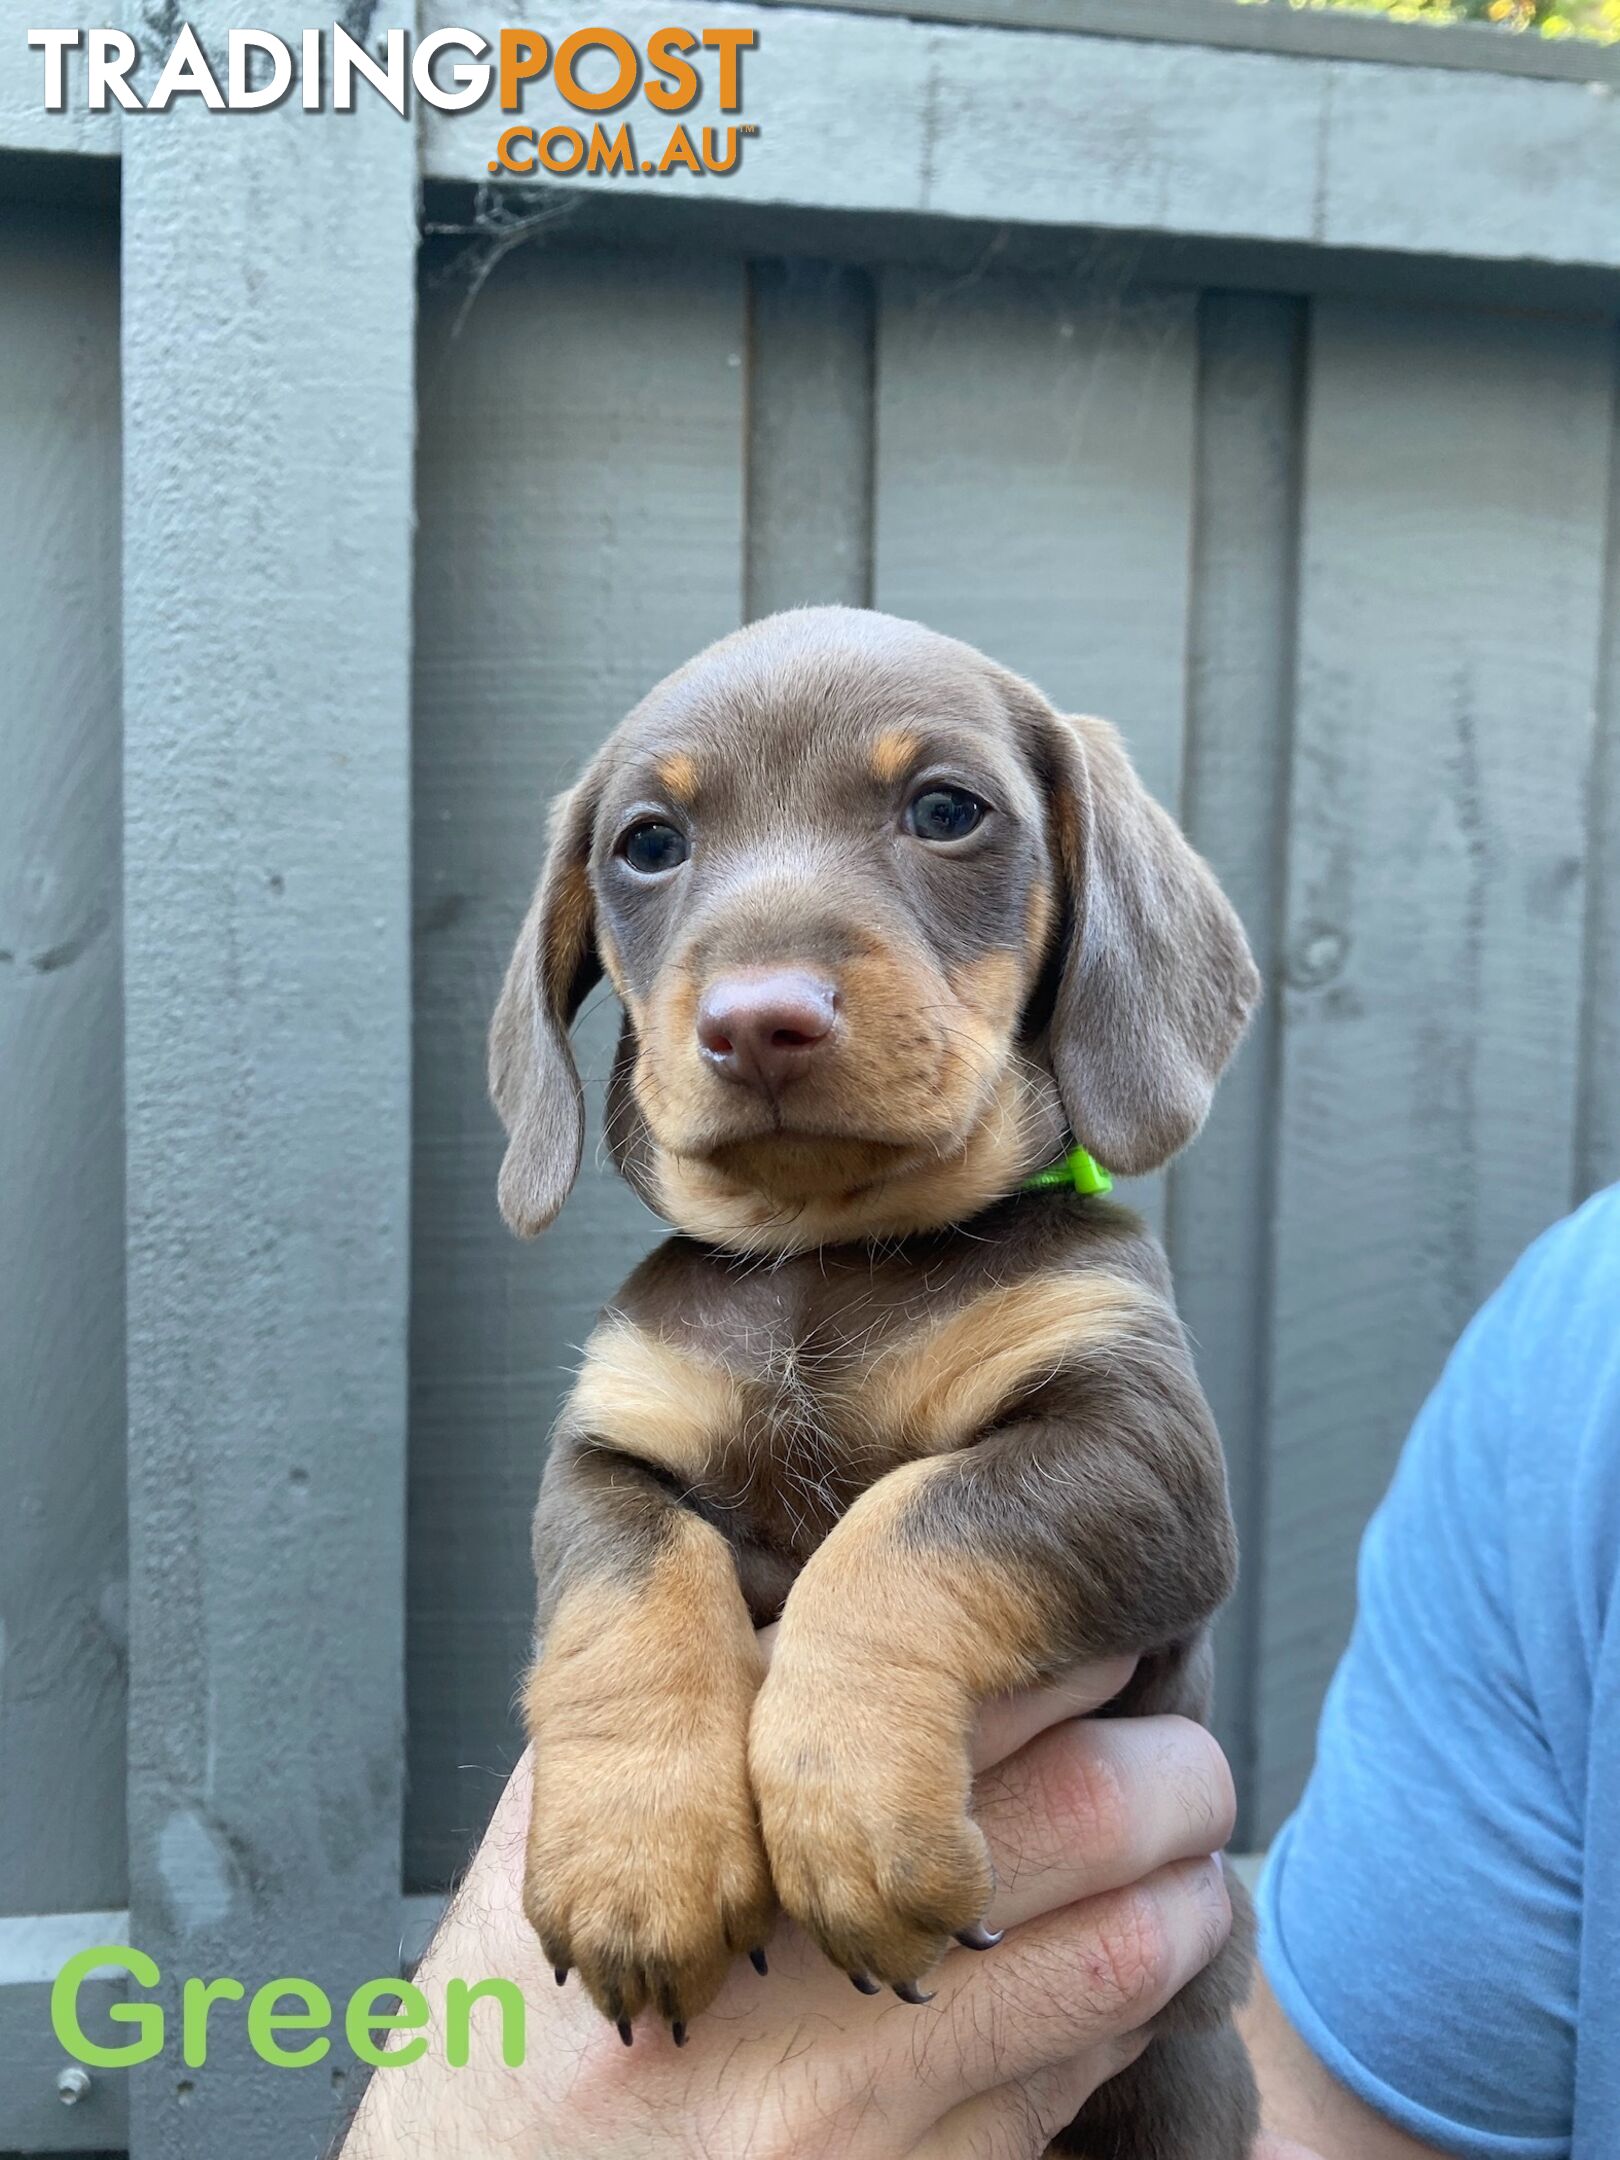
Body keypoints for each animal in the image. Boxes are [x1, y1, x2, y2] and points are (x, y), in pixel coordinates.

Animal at [488, 600, 1261, 2151]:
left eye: (947, 810)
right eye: (647, 842)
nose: (758, 1021)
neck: (827, 1251)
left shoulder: (1142, 1456)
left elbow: (903, 1534)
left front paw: (852, 1816)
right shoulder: (608, 1447)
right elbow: (631, 1586)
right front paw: (637, 1860)